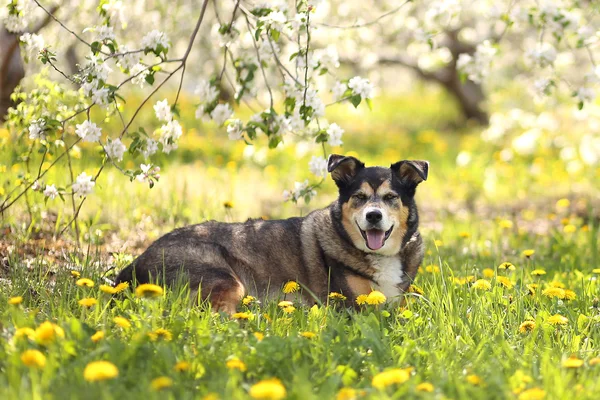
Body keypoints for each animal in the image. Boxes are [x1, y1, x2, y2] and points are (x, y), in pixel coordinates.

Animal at [115, 154, 426, 312]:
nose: (373, 216)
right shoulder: (355, 306)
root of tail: (135, 263)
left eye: (390, 197)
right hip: (226, 280)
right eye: (359, 197)